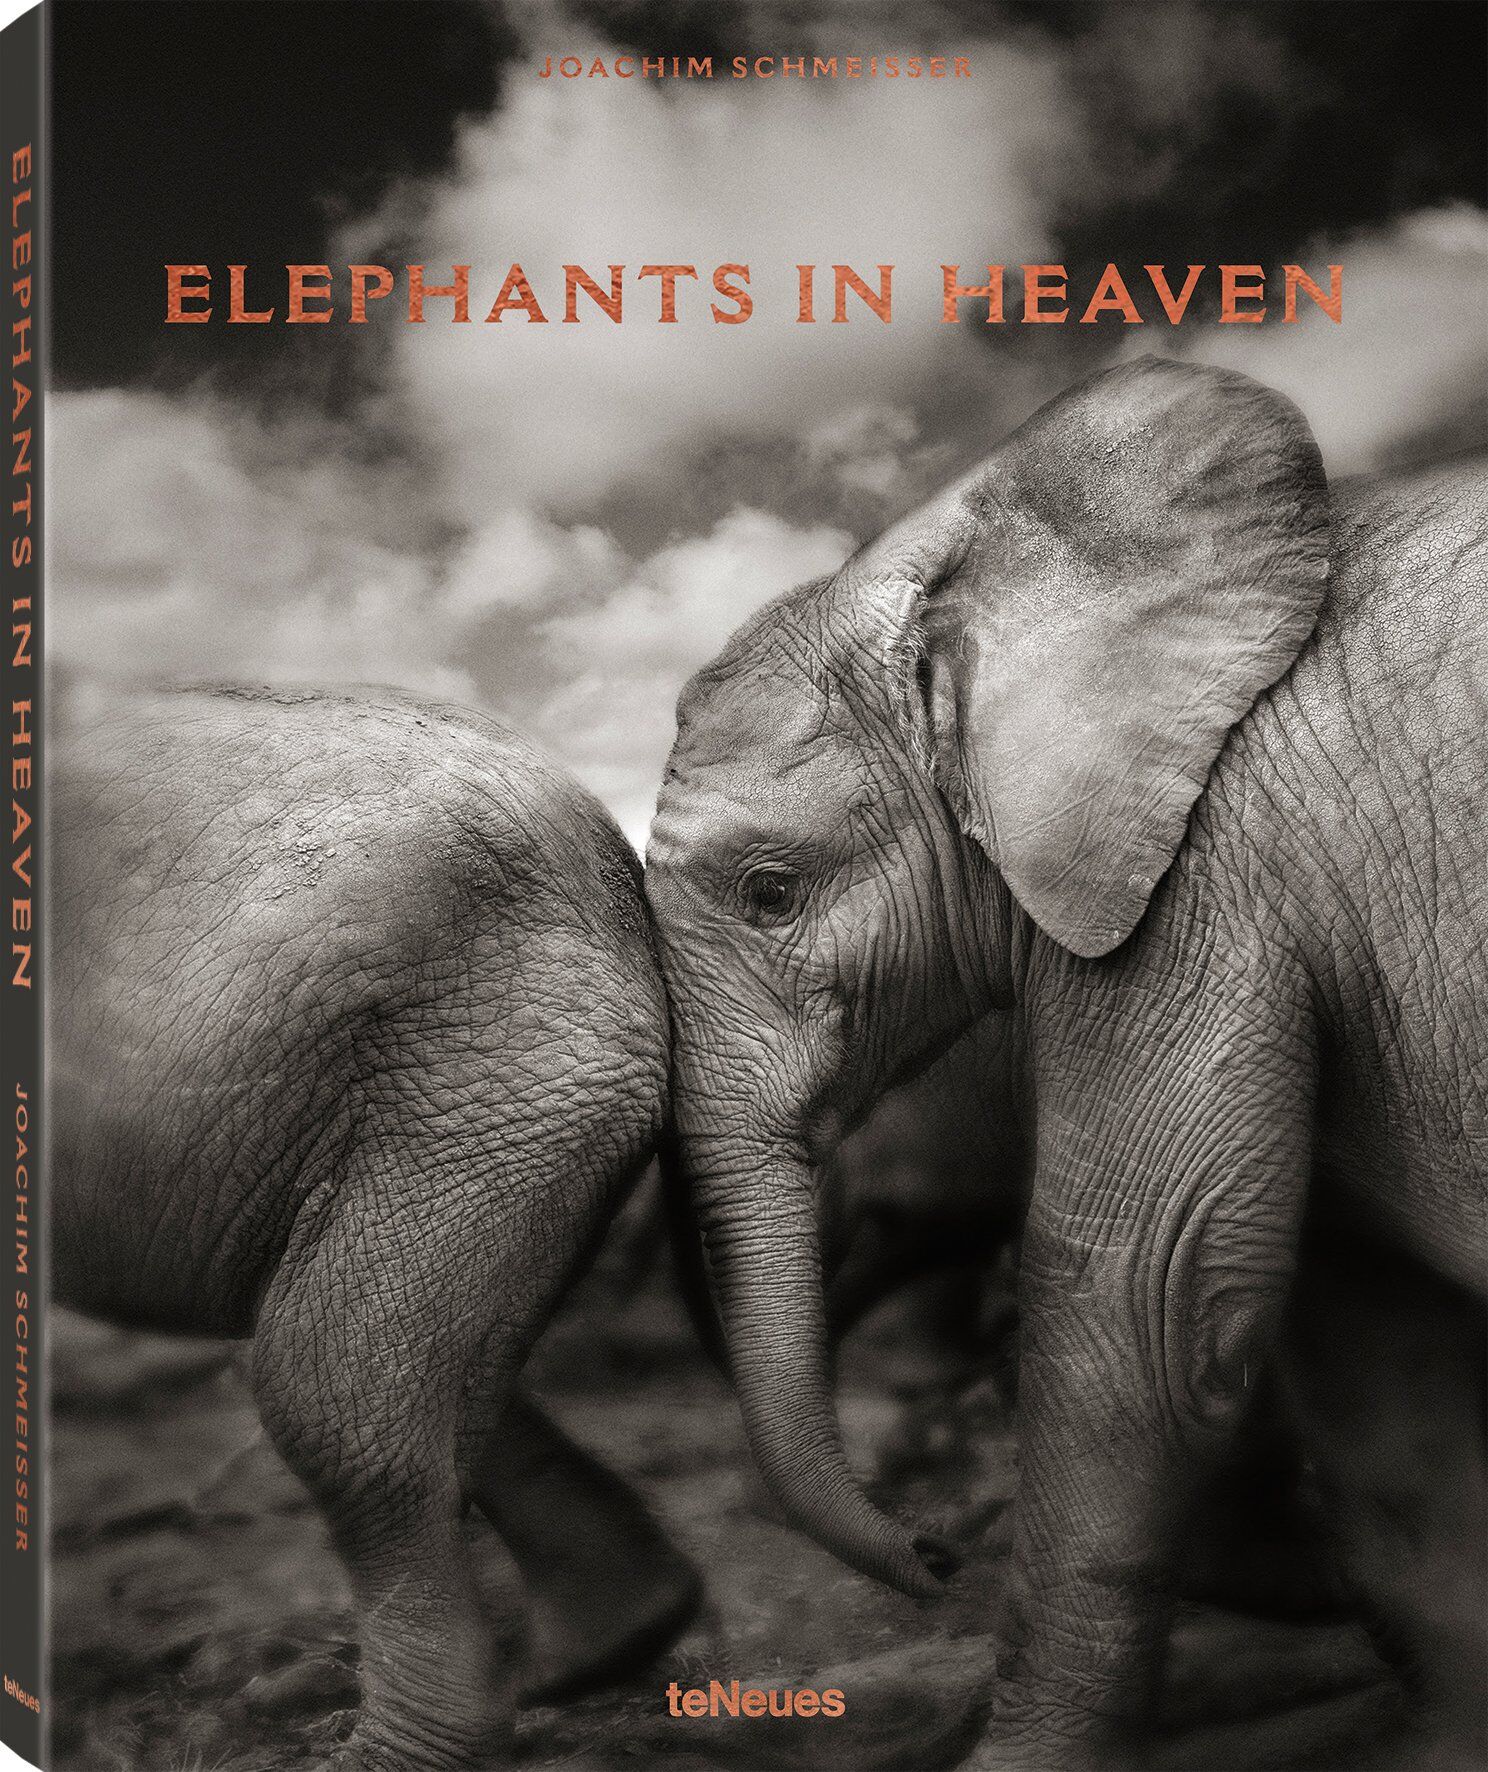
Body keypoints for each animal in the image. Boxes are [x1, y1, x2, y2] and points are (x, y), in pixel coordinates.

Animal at [52, 684, 701, 1771]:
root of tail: (617, 875)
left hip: (482, 1086)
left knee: (331, 1389)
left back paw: (388, 1748)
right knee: (438, 1377)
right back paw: (599, 1650)